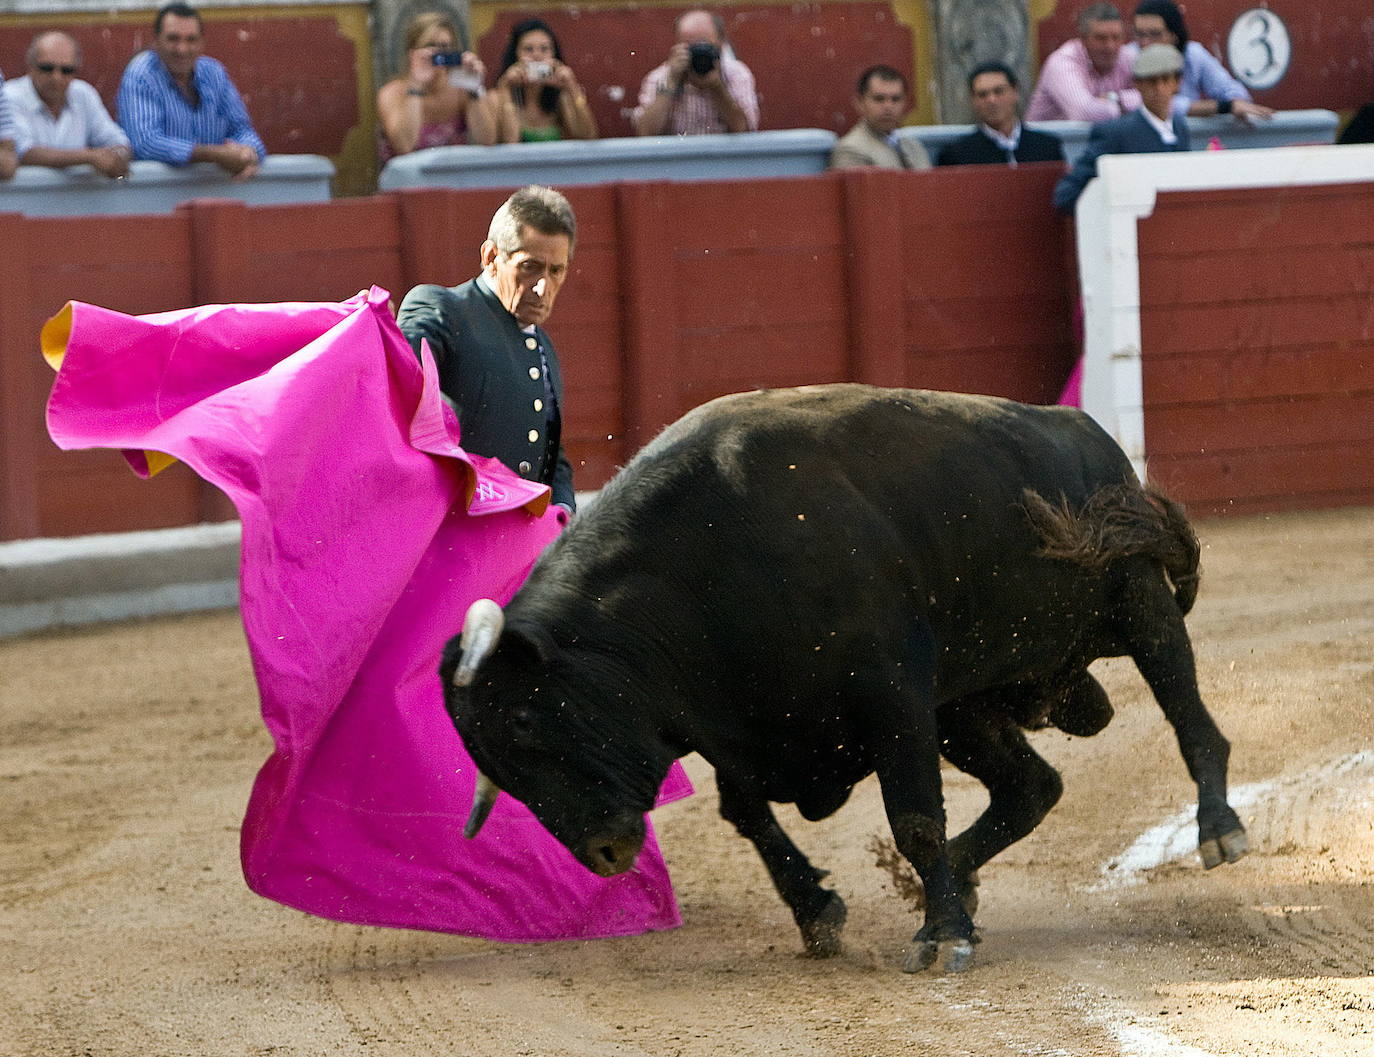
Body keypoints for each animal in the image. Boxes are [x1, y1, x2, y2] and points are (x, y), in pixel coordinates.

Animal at [439, 384, 1247, 967]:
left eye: (523, 719)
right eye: (491, 763)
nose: (604, 853)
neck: (696, 569)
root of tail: (1085, 433)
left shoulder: (892, 697)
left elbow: (915, 817)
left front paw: (943, 935)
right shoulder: (738, 728)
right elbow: (747, 815)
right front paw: (820, 914)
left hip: (1140, 605)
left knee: (1190, 718)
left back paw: (1220, 831)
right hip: (965, 710)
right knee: (1032, 786)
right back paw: (960, 879)